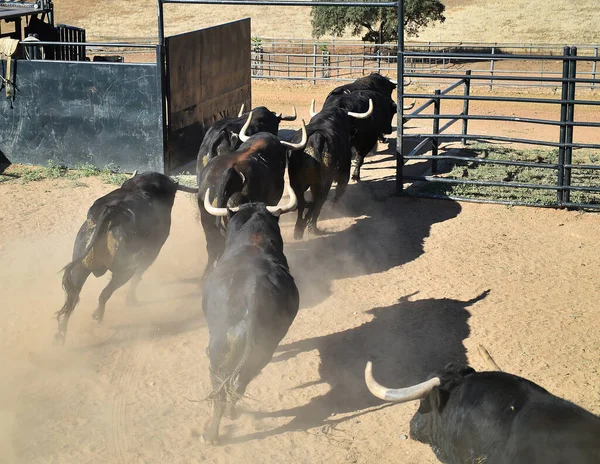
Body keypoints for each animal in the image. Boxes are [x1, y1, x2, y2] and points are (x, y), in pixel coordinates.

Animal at [52, 172, 196, 342]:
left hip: (80, 267)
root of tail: (112, 213)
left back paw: (60, 334)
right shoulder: (152, 253)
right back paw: (98, 315)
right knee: (105, 293)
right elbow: (138, 276)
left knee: (72, 299)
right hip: (124, 270)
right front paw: (131, 300)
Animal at [200, 183, 298, 444]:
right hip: (260, 351)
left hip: (222, 352)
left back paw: (213, 432)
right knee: (237, 385)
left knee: (223, 390)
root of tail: (252, 297)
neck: (254, 240)